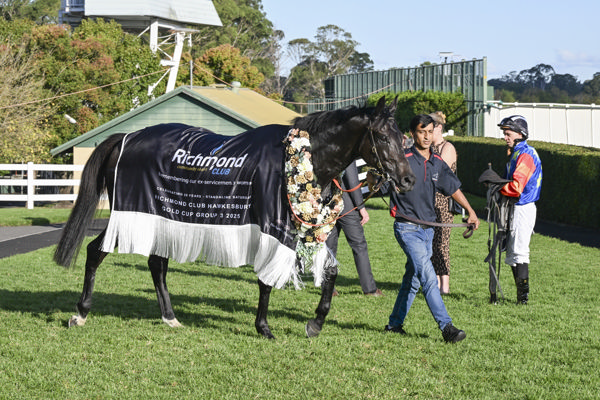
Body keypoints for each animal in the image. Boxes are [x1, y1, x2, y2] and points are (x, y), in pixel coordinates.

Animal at [53, 96, 415, 339]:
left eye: (403, 138)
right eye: (384, 137)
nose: (408, 179)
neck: (301, 157)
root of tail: (124, 139)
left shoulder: (306, 230)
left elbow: (331, 273)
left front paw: (315, 323)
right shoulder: (273, 227)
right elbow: (266, 281)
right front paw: (264, 327)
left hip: (164, 217)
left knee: (157, 264)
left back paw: (170, 317)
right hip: (131, 214)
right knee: (96, 252)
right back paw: (80, 314)